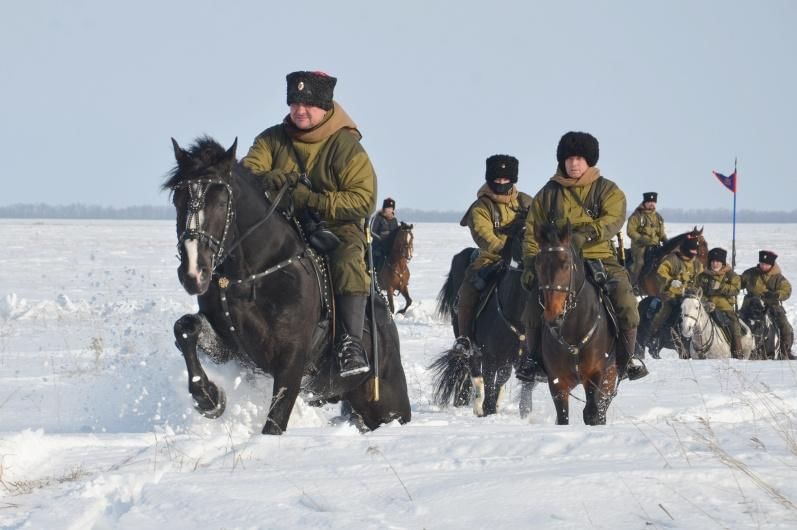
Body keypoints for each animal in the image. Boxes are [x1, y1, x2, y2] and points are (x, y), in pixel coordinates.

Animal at [162, 136, 410, 434]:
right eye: (178, 199)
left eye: (222, 202)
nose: (193, 272)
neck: (252, 276)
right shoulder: (234, 352)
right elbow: (186, 327)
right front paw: (208, 397)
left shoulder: (291, 361)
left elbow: (275, 421)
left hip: (388, 406)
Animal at [532, 221, 620, 422]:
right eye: (538, 265)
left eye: (566, 264)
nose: (553, 315)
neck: (573, 329)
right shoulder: (557, 383)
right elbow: (563, 417)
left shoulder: (595, 376)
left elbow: (591, 413)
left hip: (610, 378)